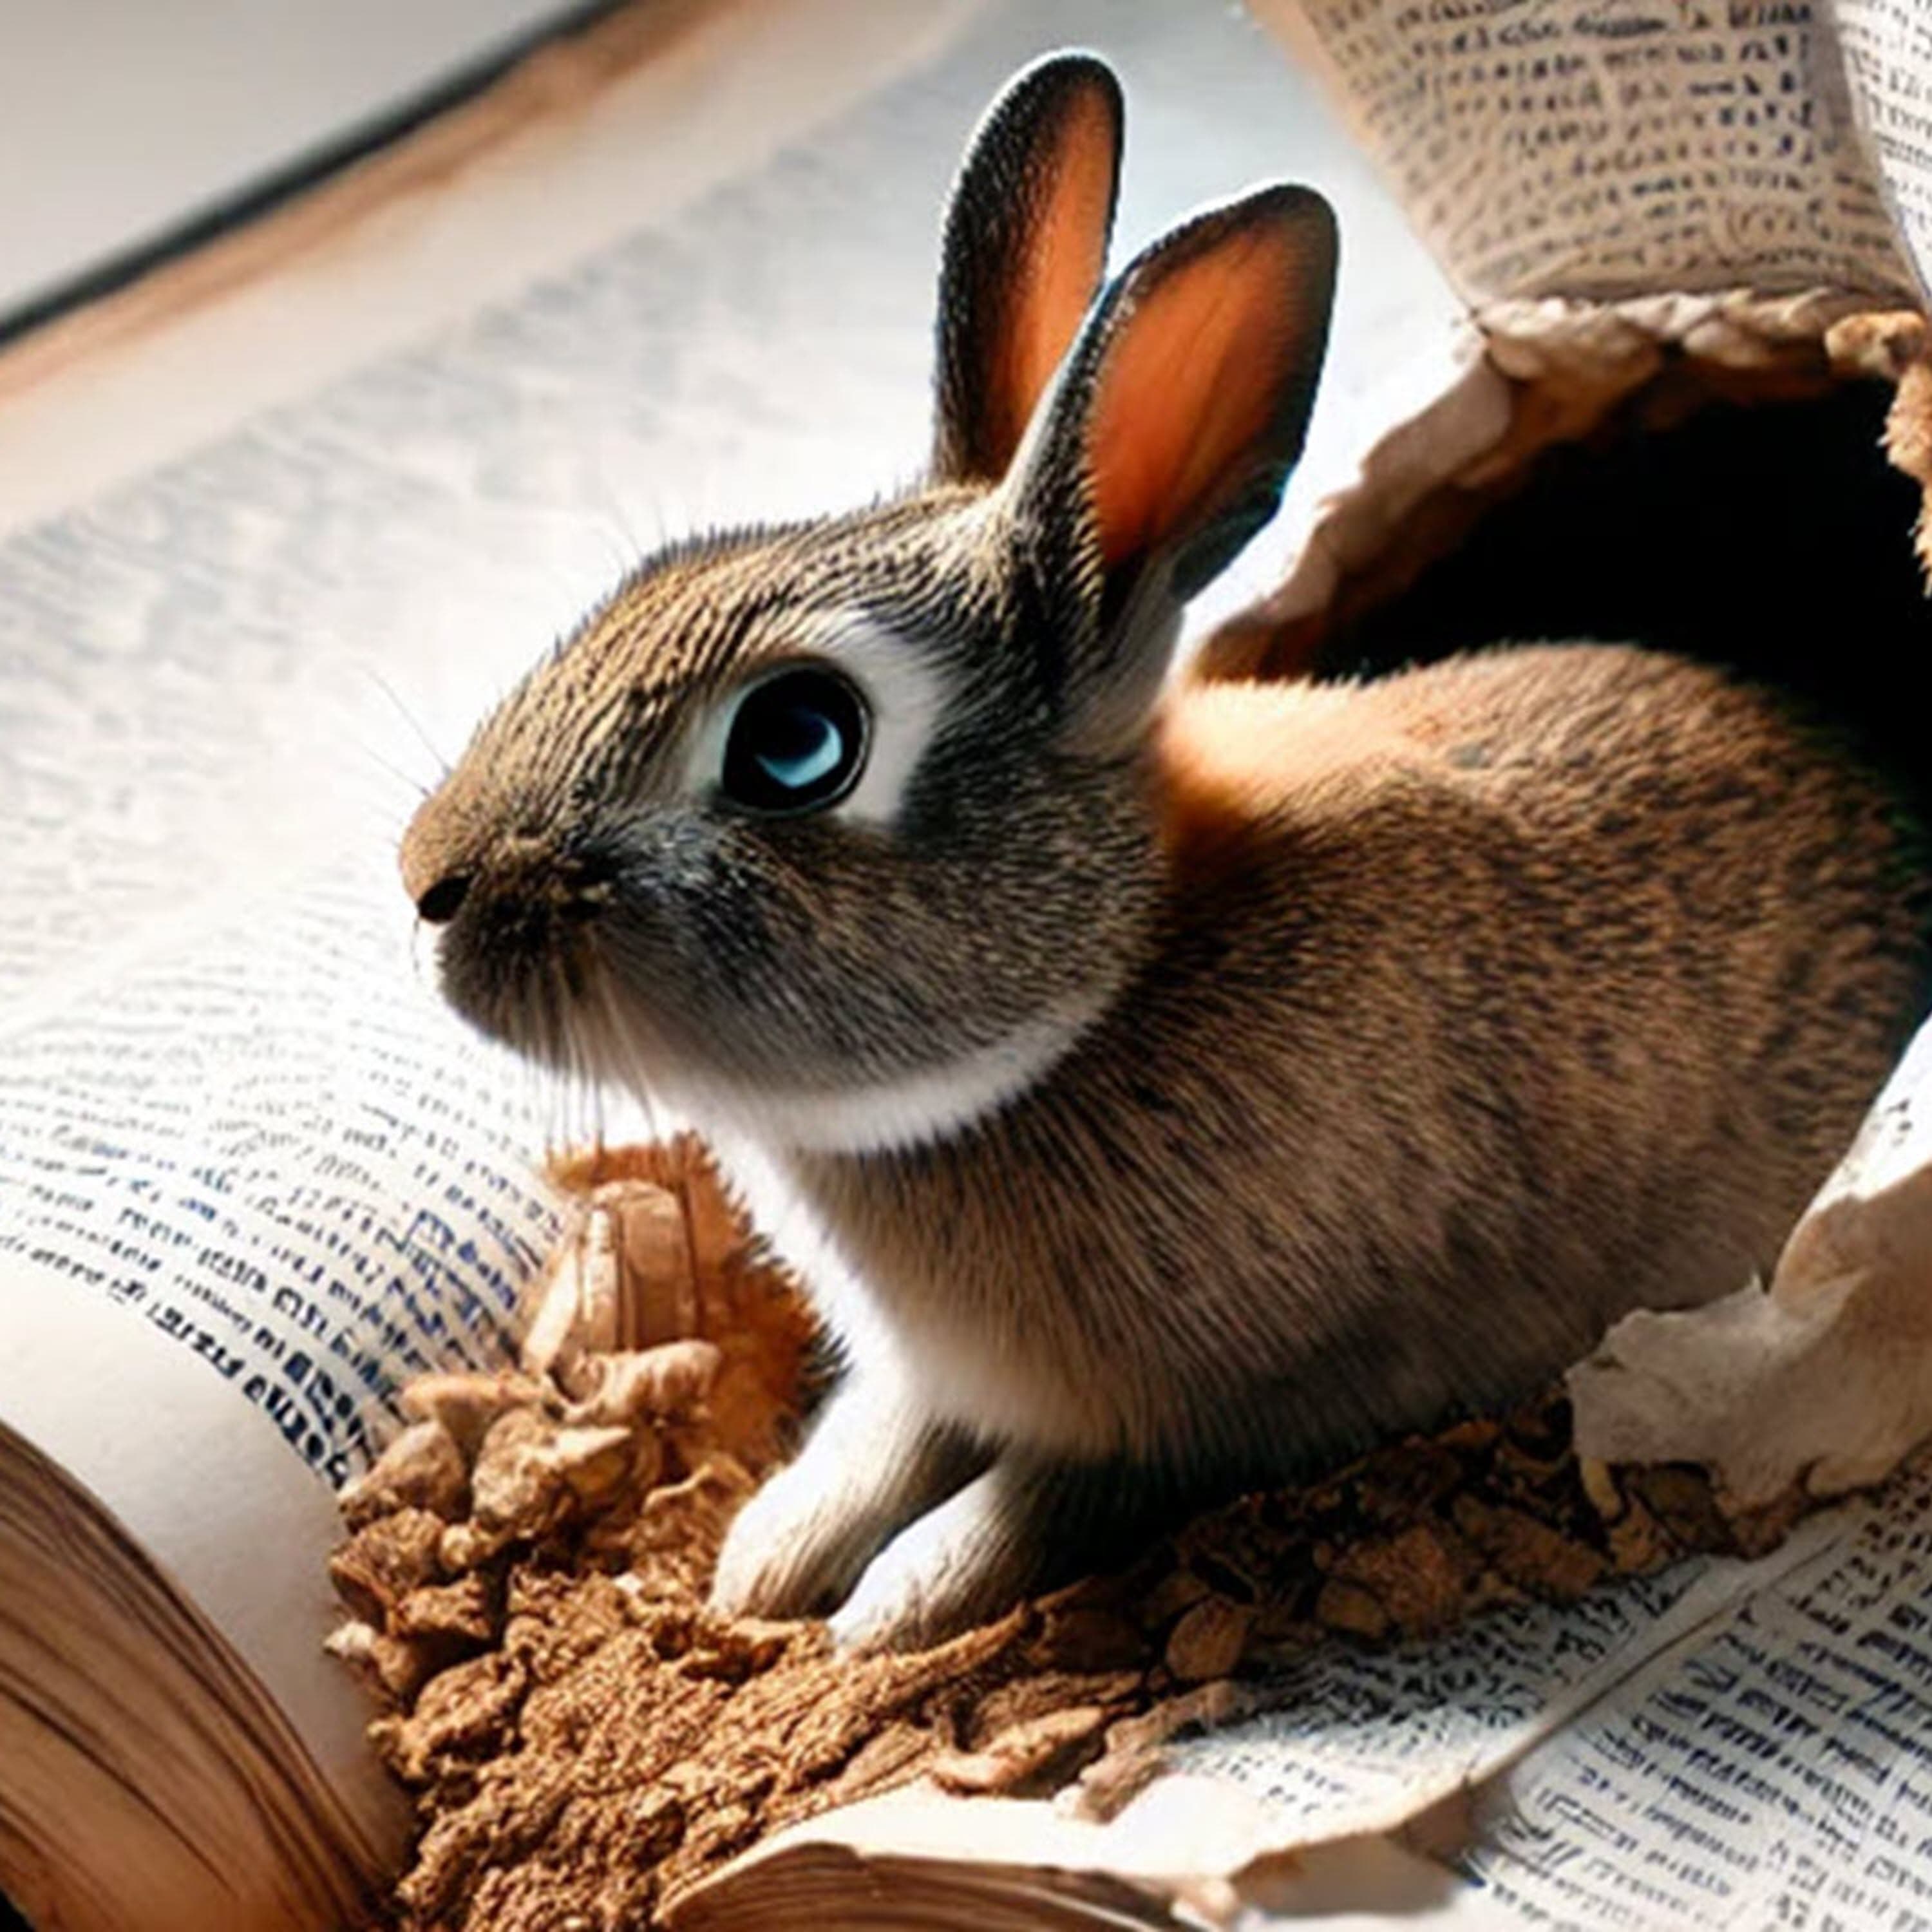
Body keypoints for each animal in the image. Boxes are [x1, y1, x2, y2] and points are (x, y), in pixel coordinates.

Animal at [399, 52, 1932, 1650]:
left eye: (798, 741)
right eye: (661, 569)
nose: (428, 885)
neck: (1094, 1001)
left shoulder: (1224, 1411)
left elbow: (1038, 1505)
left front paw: (883, 1610)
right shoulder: (936, 1379)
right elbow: (878, 1439)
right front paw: (767, 1561)